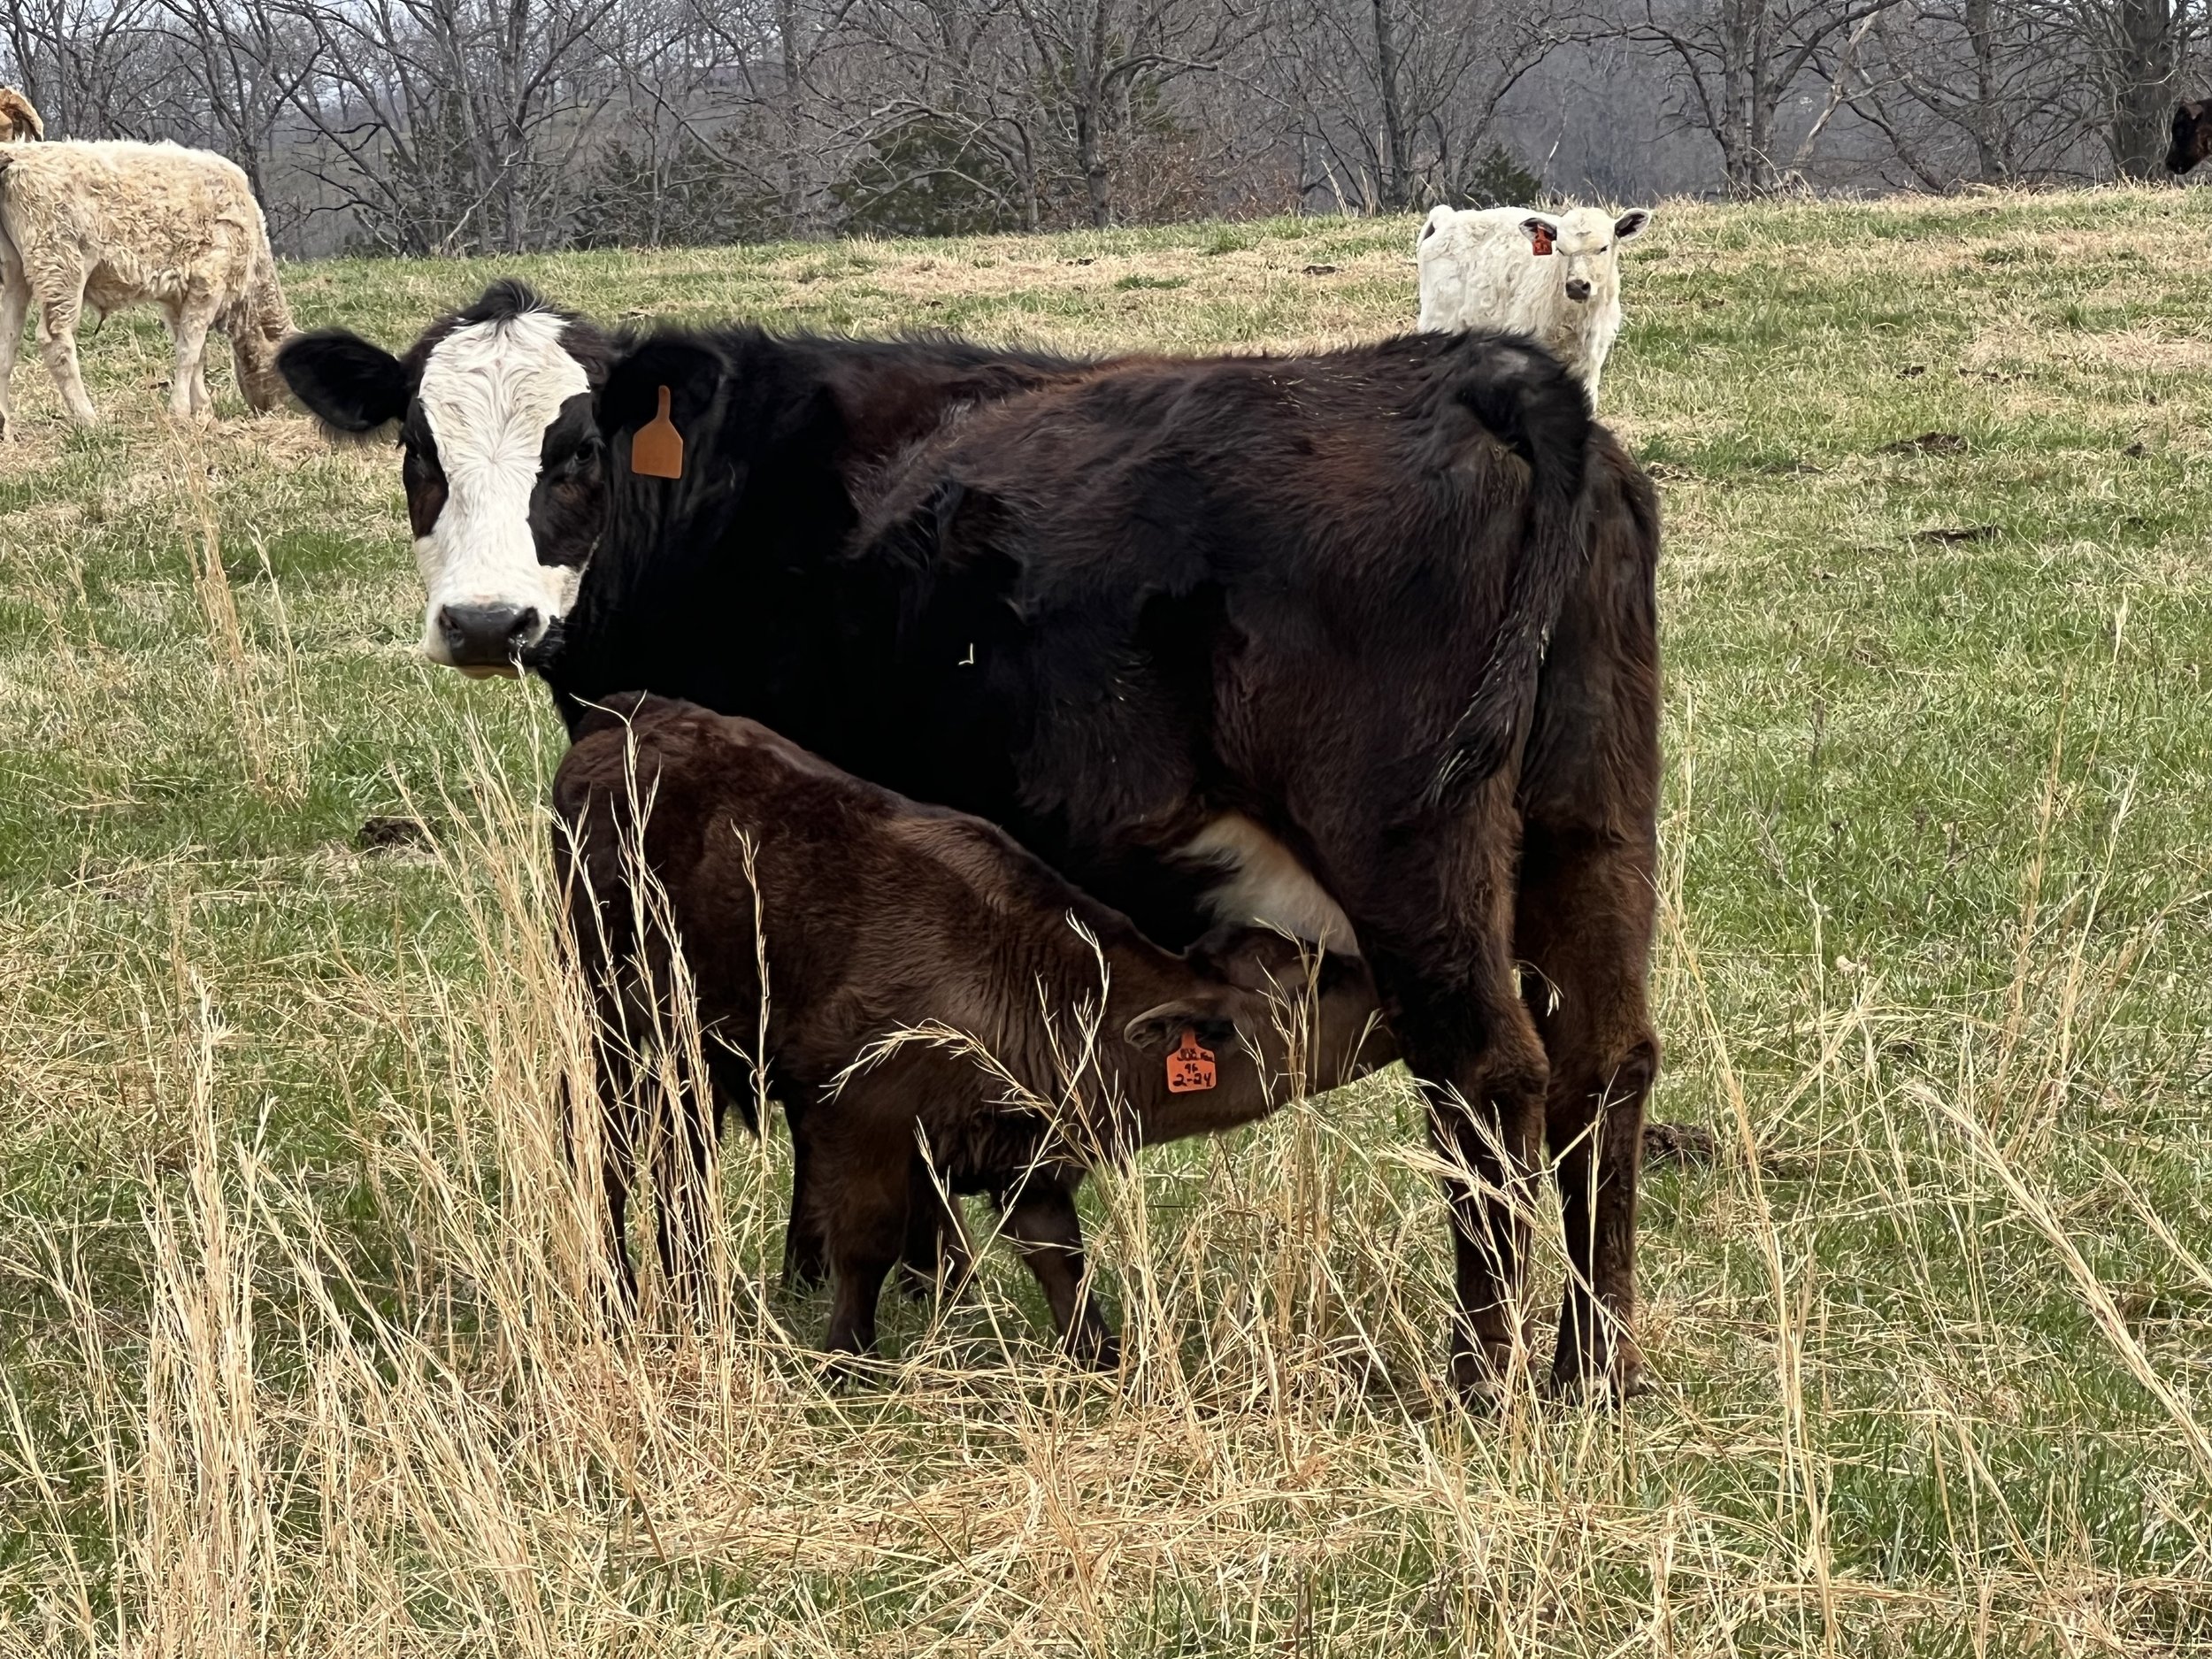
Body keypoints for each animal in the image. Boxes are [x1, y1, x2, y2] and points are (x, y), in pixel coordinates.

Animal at [556, 692, 1391, 1364]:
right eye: (1313, 978)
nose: (1389, 992)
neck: (1033, 983)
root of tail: (626, 715)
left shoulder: (1029, 1156)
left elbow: (1059, 1256)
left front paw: (1100, 1355)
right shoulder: (864, 1119)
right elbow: (867, 1241)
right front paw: (847, 1358)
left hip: (688, 1053)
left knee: (680, 1164)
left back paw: (694, 1293)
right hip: (609, 1022)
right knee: (608, 1154)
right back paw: (617, 1296)